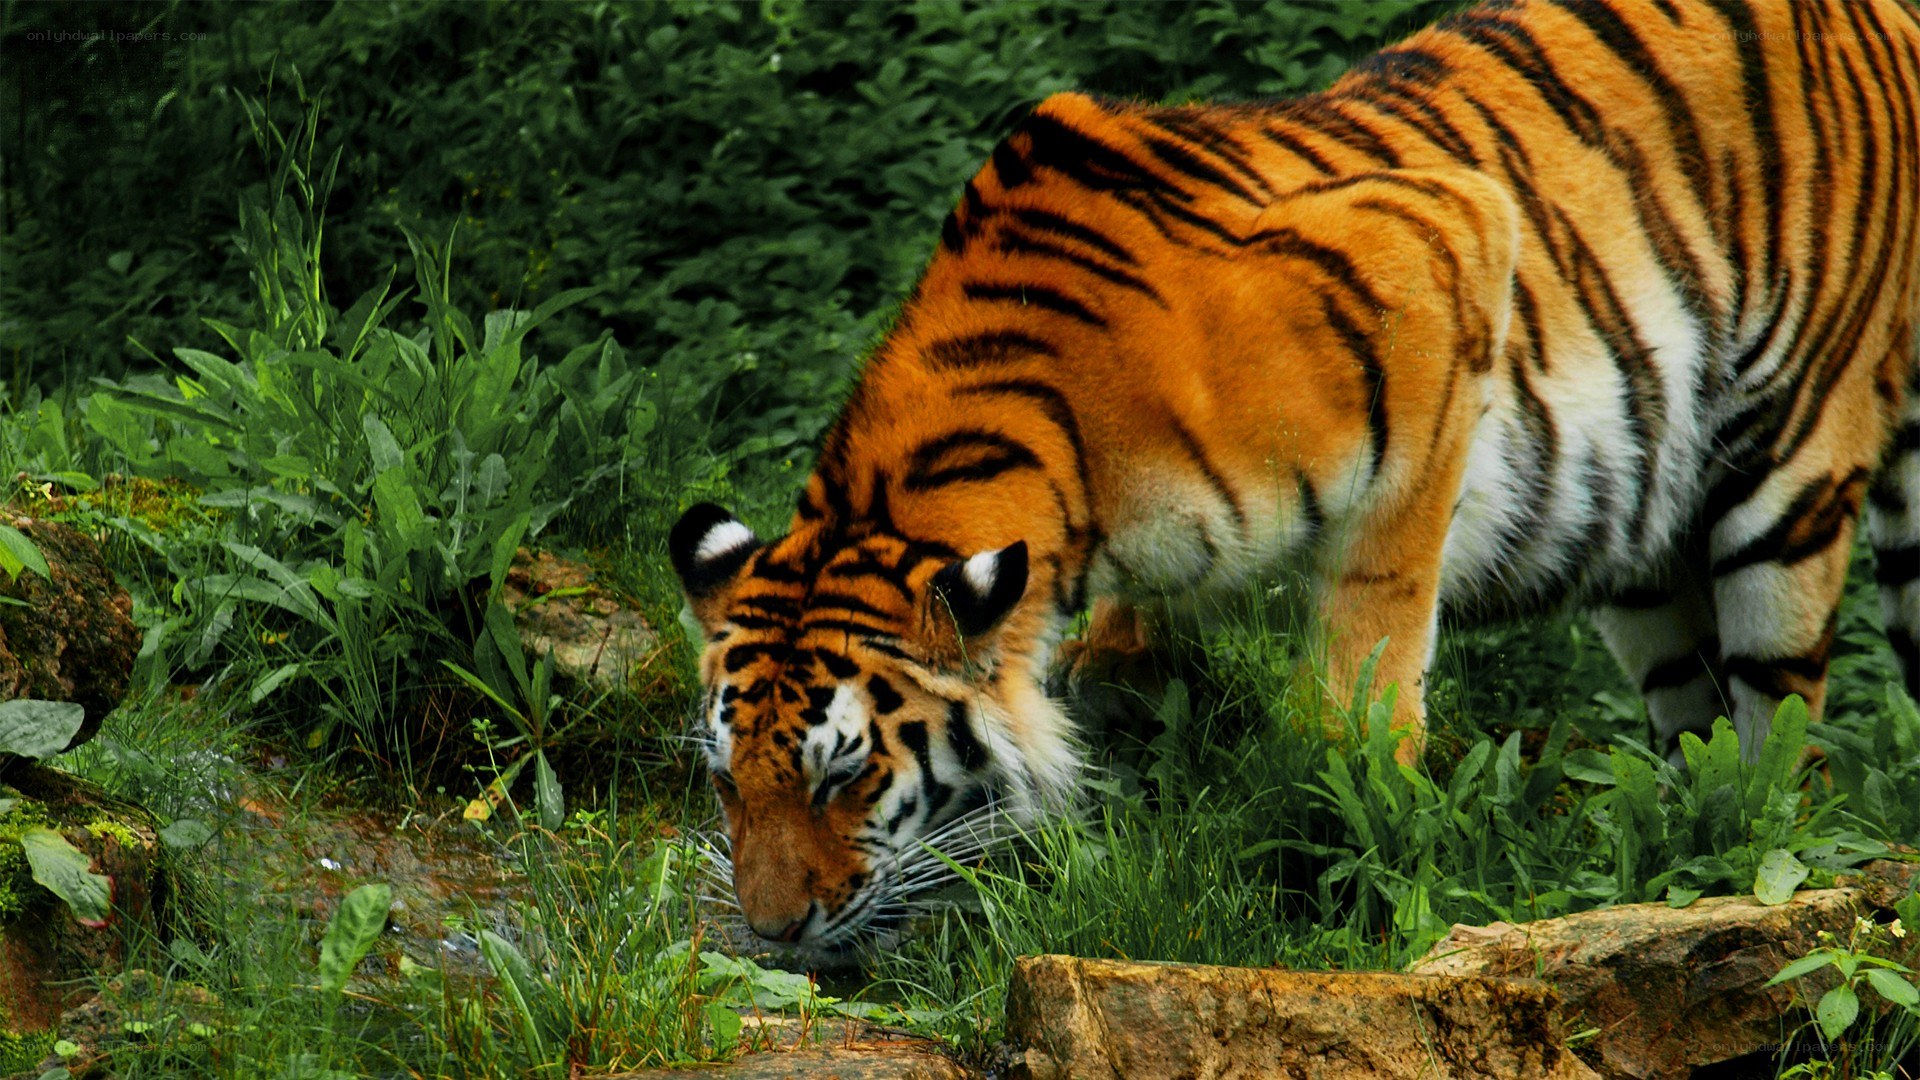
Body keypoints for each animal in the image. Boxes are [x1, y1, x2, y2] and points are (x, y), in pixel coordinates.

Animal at [670, 0, 1920, 947]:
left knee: (1780, 742)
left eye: (842, 779)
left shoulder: (1442, 261)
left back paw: (1746, 858)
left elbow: (1365, 662)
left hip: (1787, 478)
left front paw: (1362, 846)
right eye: (731, 782)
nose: (772, 934)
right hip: (1651, 556)